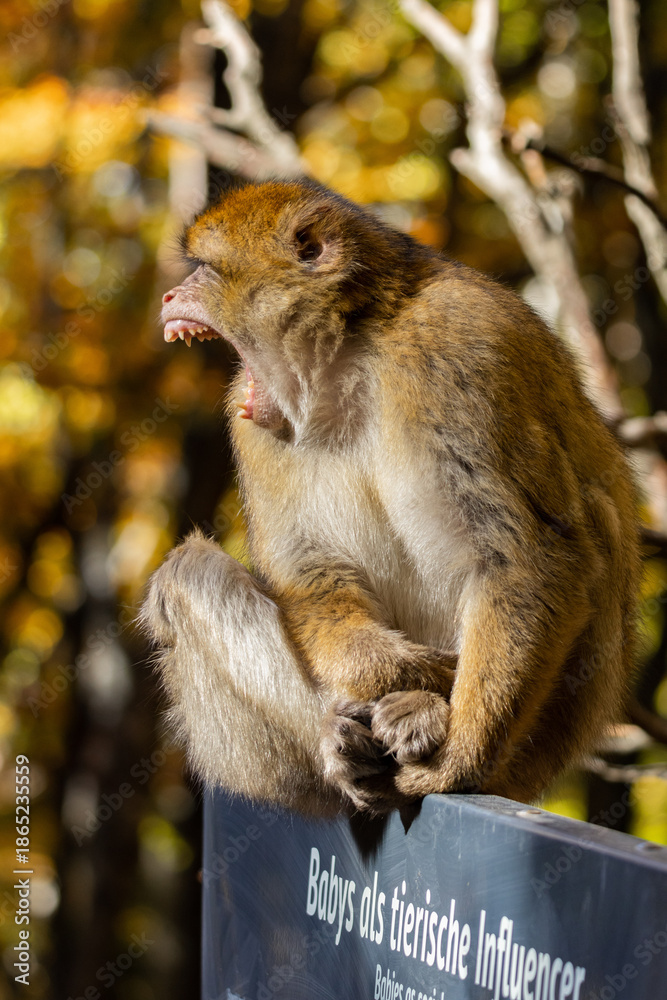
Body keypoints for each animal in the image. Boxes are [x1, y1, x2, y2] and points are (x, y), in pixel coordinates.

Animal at [142, 179, 640, 817]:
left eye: (205, 267)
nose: (170, 294)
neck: (353, 354)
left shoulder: (461, 350)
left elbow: (525, 557)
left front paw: (459, 759)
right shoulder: (251, 424)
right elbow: (310, 571)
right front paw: (407, 671)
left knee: (593, 518)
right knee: (188, 577)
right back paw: (344, 741)